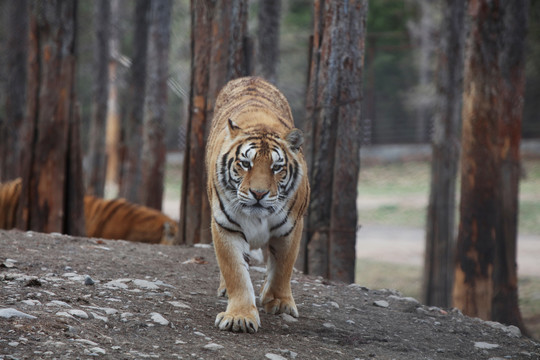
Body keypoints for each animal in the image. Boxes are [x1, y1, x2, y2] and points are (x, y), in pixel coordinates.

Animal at [206, 76, 308, 334]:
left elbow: (283, 267)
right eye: (245, 164)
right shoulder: (226, 227)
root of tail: (251, 78)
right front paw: (239, 317)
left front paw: (279, 302)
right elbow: (236, 272)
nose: (259, 193)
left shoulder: (290, 228)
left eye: (276, 167)